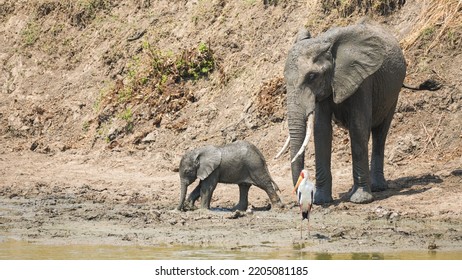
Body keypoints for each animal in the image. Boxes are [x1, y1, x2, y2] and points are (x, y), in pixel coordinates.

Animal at [278, 19, 404, 203]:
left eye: (312, 76)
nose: (300, 194)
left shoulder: (363, 79)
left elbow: (358, 128)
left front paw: (361, 199)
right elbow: (321, 130)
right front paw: (321, 200)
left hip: (393, 93)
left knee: (380, 133)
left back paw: (377, 188)